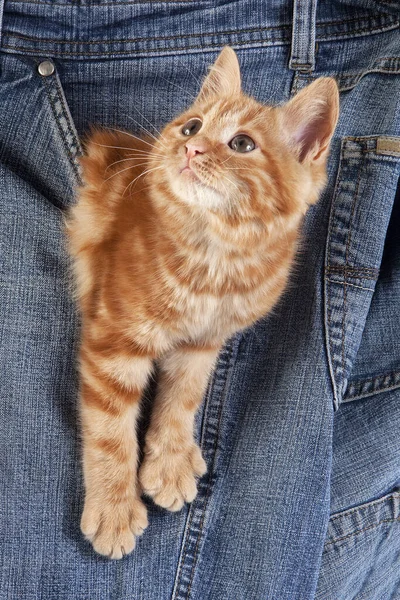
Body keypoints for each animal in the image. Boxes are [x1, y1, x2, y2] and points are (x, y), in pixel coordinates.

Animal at [67, 47, 340, 556]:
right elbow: (110, 430)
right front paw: (114, 507)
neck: (215, 261)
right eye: (192, 127)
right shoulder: (114, 337)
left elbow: (184, 397)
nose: (191, 149)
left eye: (242, 144)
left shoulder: (204, 341)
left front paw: (171, 462)